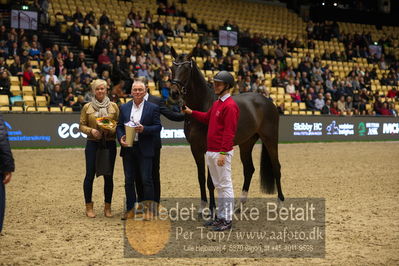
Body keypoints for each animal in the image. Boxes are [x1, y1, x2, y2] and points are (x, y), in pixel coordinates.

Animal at [169, 48, 284, 214]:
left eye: (186, 69)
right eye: (172, 68)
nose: (174, 93)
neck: (204, 107)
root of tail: (268, 102)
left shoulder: (210, 148)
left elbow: (210, 181)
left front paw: (212, 209)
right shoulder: (195, 149)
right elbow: (200, 178)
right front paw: (202, 207)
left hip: (270, 139)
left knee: (276, 167)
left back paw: (280, 203)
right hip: (246, 143)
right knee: (249, 169)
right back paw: (238, 205)